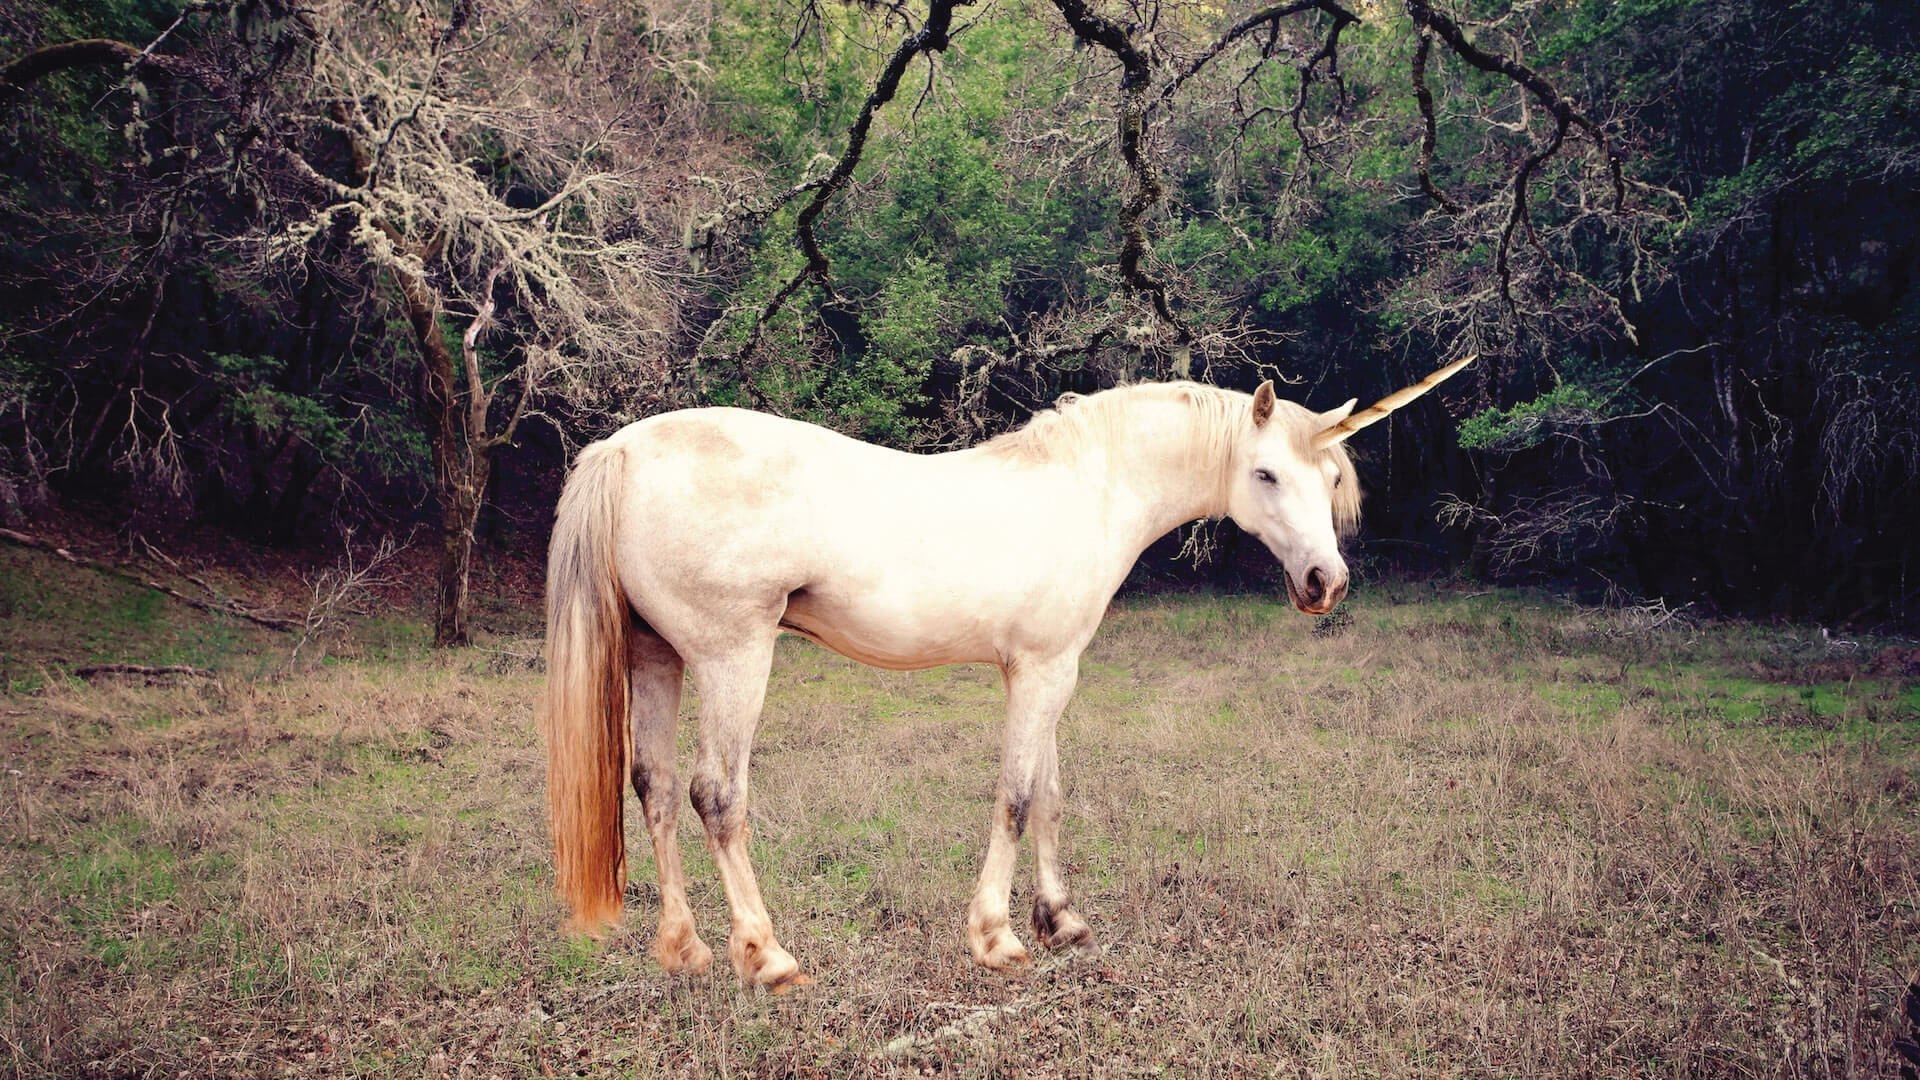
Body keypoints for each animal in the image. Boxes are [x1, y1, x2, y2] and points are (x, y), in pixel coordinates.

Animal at [541, 359, 1466, 983]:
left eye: (1329, 475)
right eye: (1267, 473)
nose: (1324, 583)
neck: (1087, 489)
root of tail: (623, 448)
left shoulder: (1051, 672)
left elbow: (1050, 794)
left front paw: (1063, 921)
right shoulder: (1041, 672)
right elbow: (1018, 798)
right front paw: (997, 937)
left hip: (657, 656)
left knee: (655, 789)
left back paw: (684, 948)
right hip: (734, 658)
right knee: (715, 797)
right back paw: (766, 956)